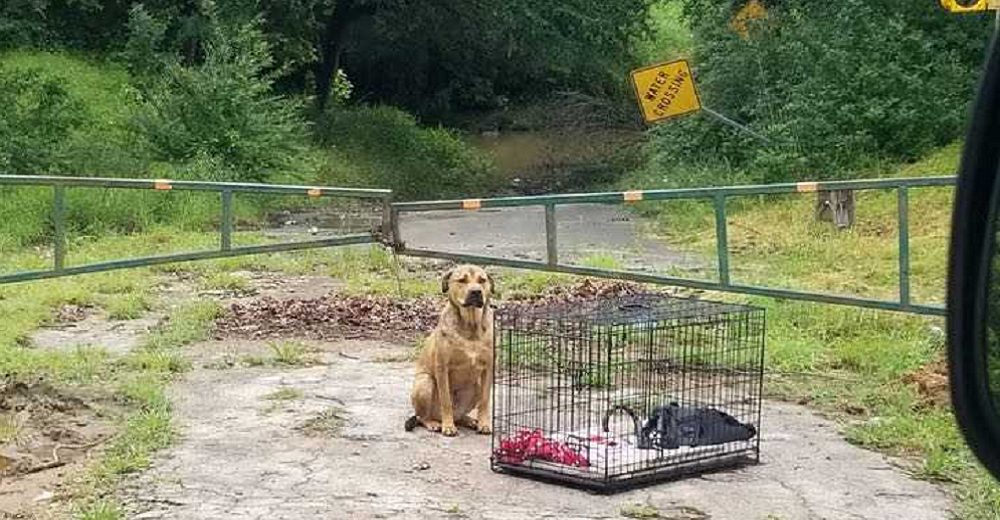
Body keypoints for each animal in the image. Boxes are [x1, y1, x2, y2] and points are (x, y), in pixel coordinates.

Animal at [404, 264, 494, 434]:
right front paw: (448, 427)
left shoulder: (488, 369)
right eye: (462, 280)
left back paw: (469, 420)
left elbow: (485, 401)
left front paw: (484, 424)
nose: (476, 291)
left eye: (482, 280)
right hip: (424, 382)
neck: (470, 327)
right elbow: (446, 400)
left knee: (460, 415)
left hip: (476, 386)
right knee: (421, 416)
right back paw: (434, 423)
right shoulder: (442, 368)